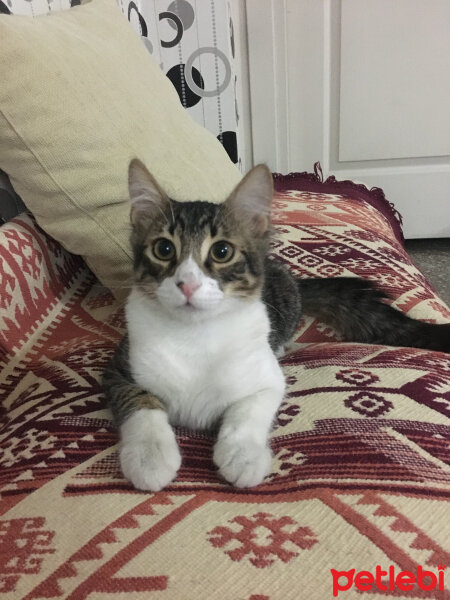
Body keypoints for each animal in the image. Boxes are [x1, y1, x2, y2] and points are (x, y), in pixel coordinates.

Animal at [103, 161, 450, 492]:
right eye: (163, 249)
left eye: (221, 251)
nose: (187, 285)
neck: (194, 334)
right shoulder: (119, 367)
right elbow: (141, 404)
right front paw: (149, 457)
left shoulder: (266, 377)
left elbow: (248, 411)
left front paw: (242, 454)